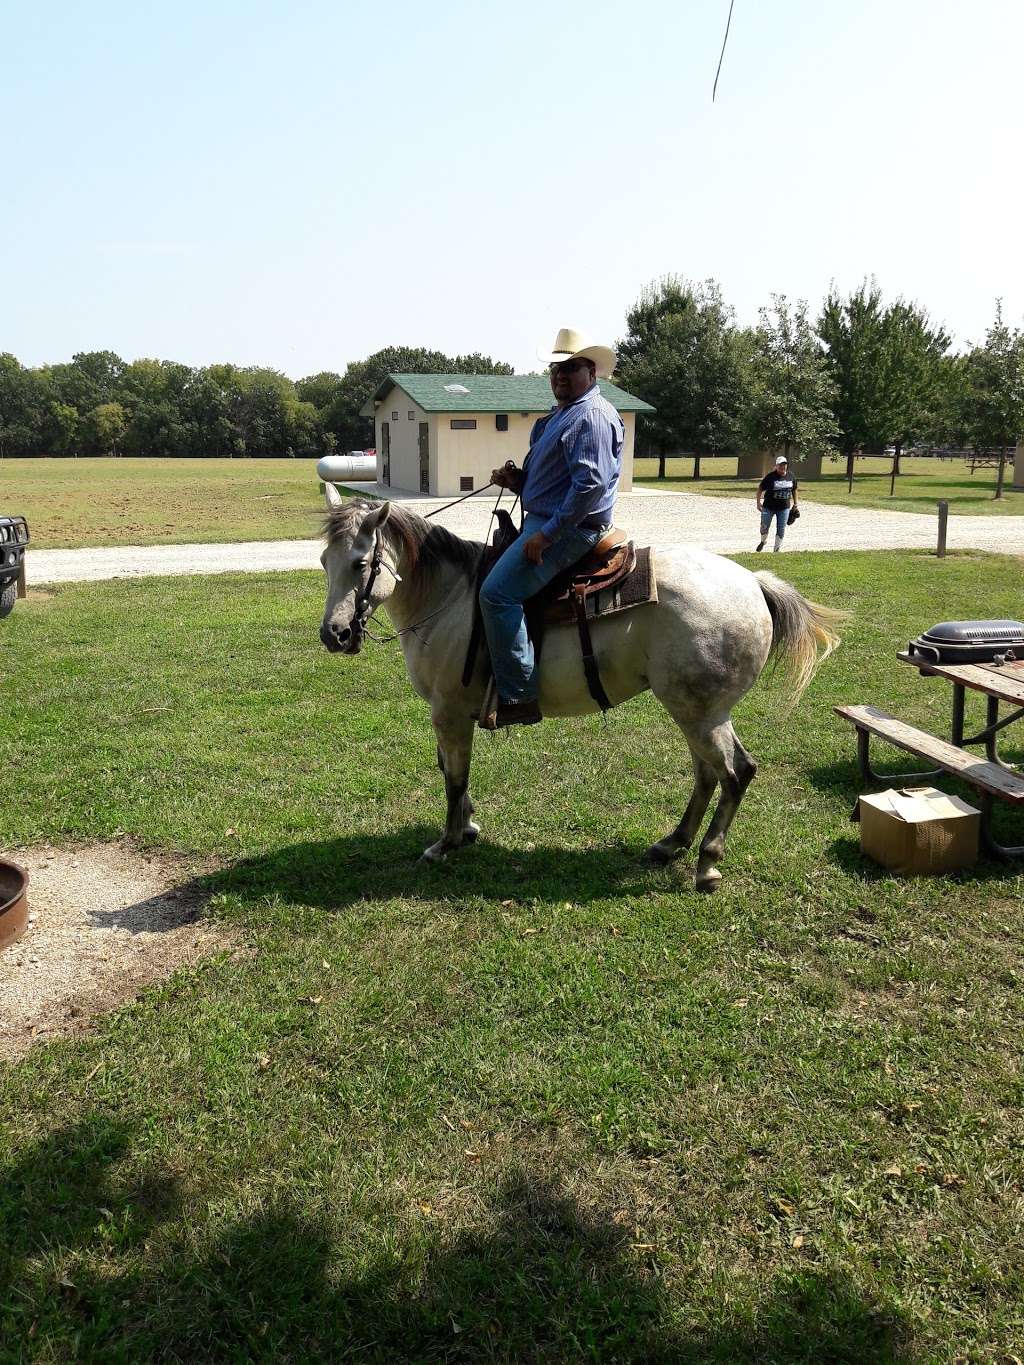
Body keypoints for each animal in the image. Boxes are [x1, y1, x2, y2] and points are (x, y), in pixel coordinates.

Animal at [320, 496, 841, 889]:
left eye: (361, 563)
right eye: (324, 561)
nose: (334, 635)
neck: (448, 601)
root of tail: (752, 582)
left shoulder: (449, 714)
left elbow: (454, 779)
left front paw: (445, 843)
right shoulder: (448, 715)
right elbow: (450, 771)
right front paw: (467, 828)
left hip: (702, 714)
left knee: (736, 772)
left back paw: (707, 863)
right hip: (694, 711)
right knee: (707, 774)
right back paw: (672, 842)